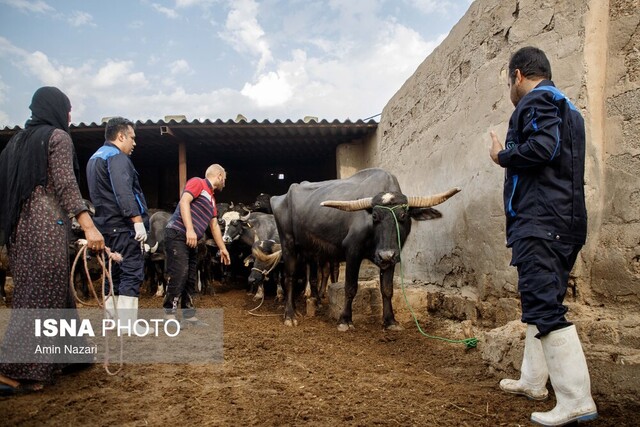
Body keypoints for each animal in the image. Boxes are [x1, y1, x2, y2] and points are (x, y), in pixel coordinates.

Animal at [270, 169, 460, 330]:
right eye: (374, 216)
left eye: (403, 215)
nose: (385, 255)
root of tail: (282, 197)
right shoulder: (352, 252)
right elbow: (350, 287)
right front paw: (345, 320)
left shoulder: (392, 257)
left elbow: (387, 289)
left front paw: (390, 320)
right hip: (288, 244)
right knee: (289, 277)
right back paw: (290, 315)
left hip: (310, 250)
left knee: (313, 276)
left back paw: (311, 303)